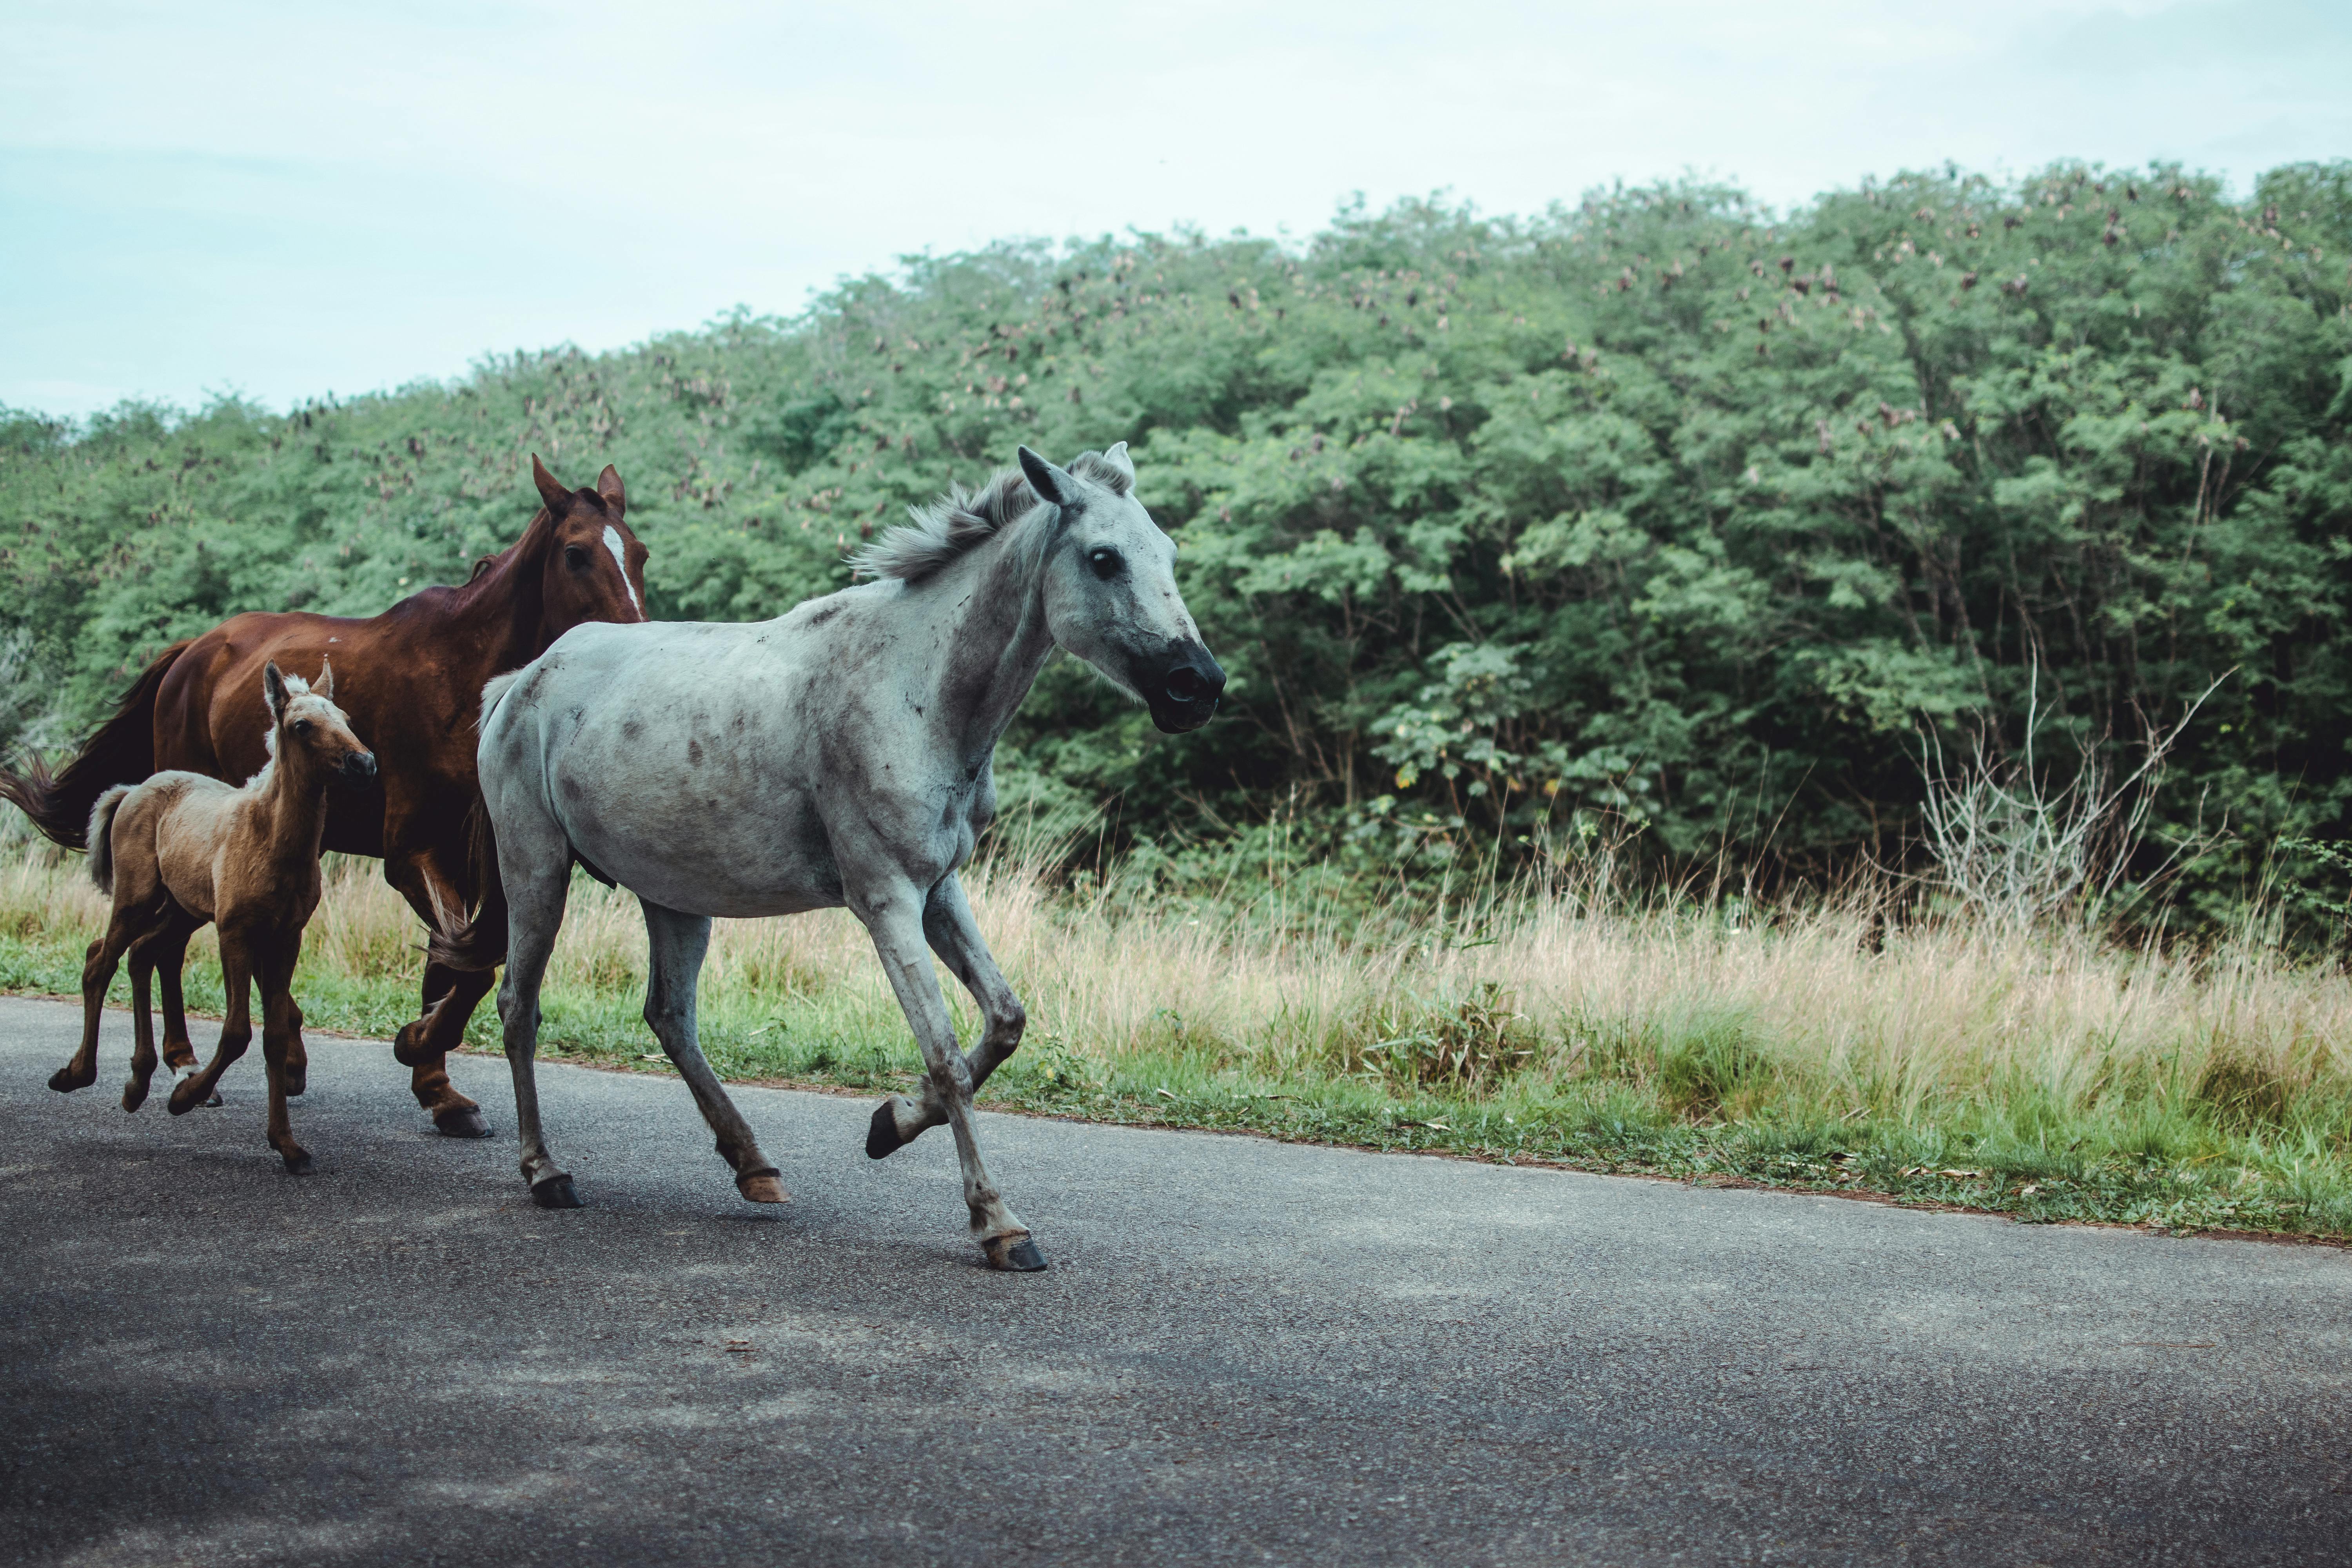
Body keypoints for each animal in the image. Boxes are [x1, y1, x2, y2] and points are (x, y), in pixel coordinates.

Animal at [52, 658, 376, 1171]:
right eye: (301, 726)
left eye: (344, 718)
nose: (363, 764)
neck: (273, 841)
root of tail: (133, 790)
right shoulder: (236, 932)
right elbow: (238, 1031)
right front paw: (186, 1096)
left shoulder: (288, 937)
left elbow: (275, 1035)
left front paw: (287, 1144)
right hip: (137, 897)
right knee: (100, 961)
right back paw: (78, 1073)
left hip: (181, 909)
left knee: (138, 954)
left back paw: (137, 1082)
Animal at [437, 435, 1232, 1269]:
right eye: (1104, 558)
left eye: (1167, 552)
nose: (1199, 685)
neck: (917, 689)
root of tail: (521, 682)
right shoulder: (886, 901)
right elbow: (948, 1055)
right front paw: (998, 1221)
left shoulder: (939, 891)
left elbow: (1003, 1023)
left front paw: (890, 1125)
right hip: (536, 871)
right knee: (519, 1007)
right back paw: (546, 1171)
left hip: (674, 895)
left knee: (670, 1017)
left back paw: (753, 1164)